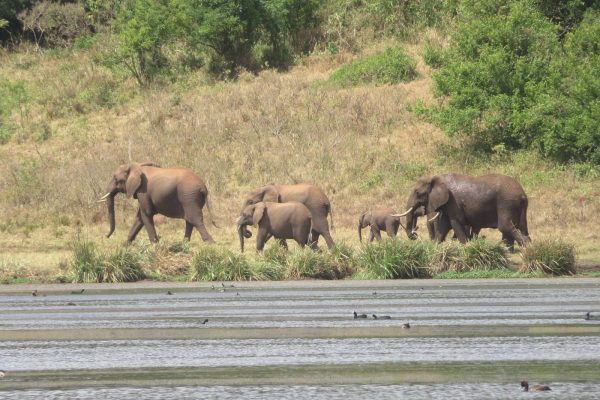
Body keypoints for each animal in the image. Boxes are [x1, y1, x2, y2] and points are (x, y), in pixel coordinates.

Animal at [398, 173, 528, 248]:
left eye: (417, 193)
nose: (415, 235)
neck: (436, 178)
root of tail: (522, 194)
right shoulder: (448, 204)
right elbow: (444, 226)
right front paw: (435, 248)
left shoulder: (453, 202)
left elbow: (455, 223)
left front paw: (465, 247)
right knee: (522, 227)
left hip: (506, 203)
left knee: (505, 226)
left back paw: (523, 249)